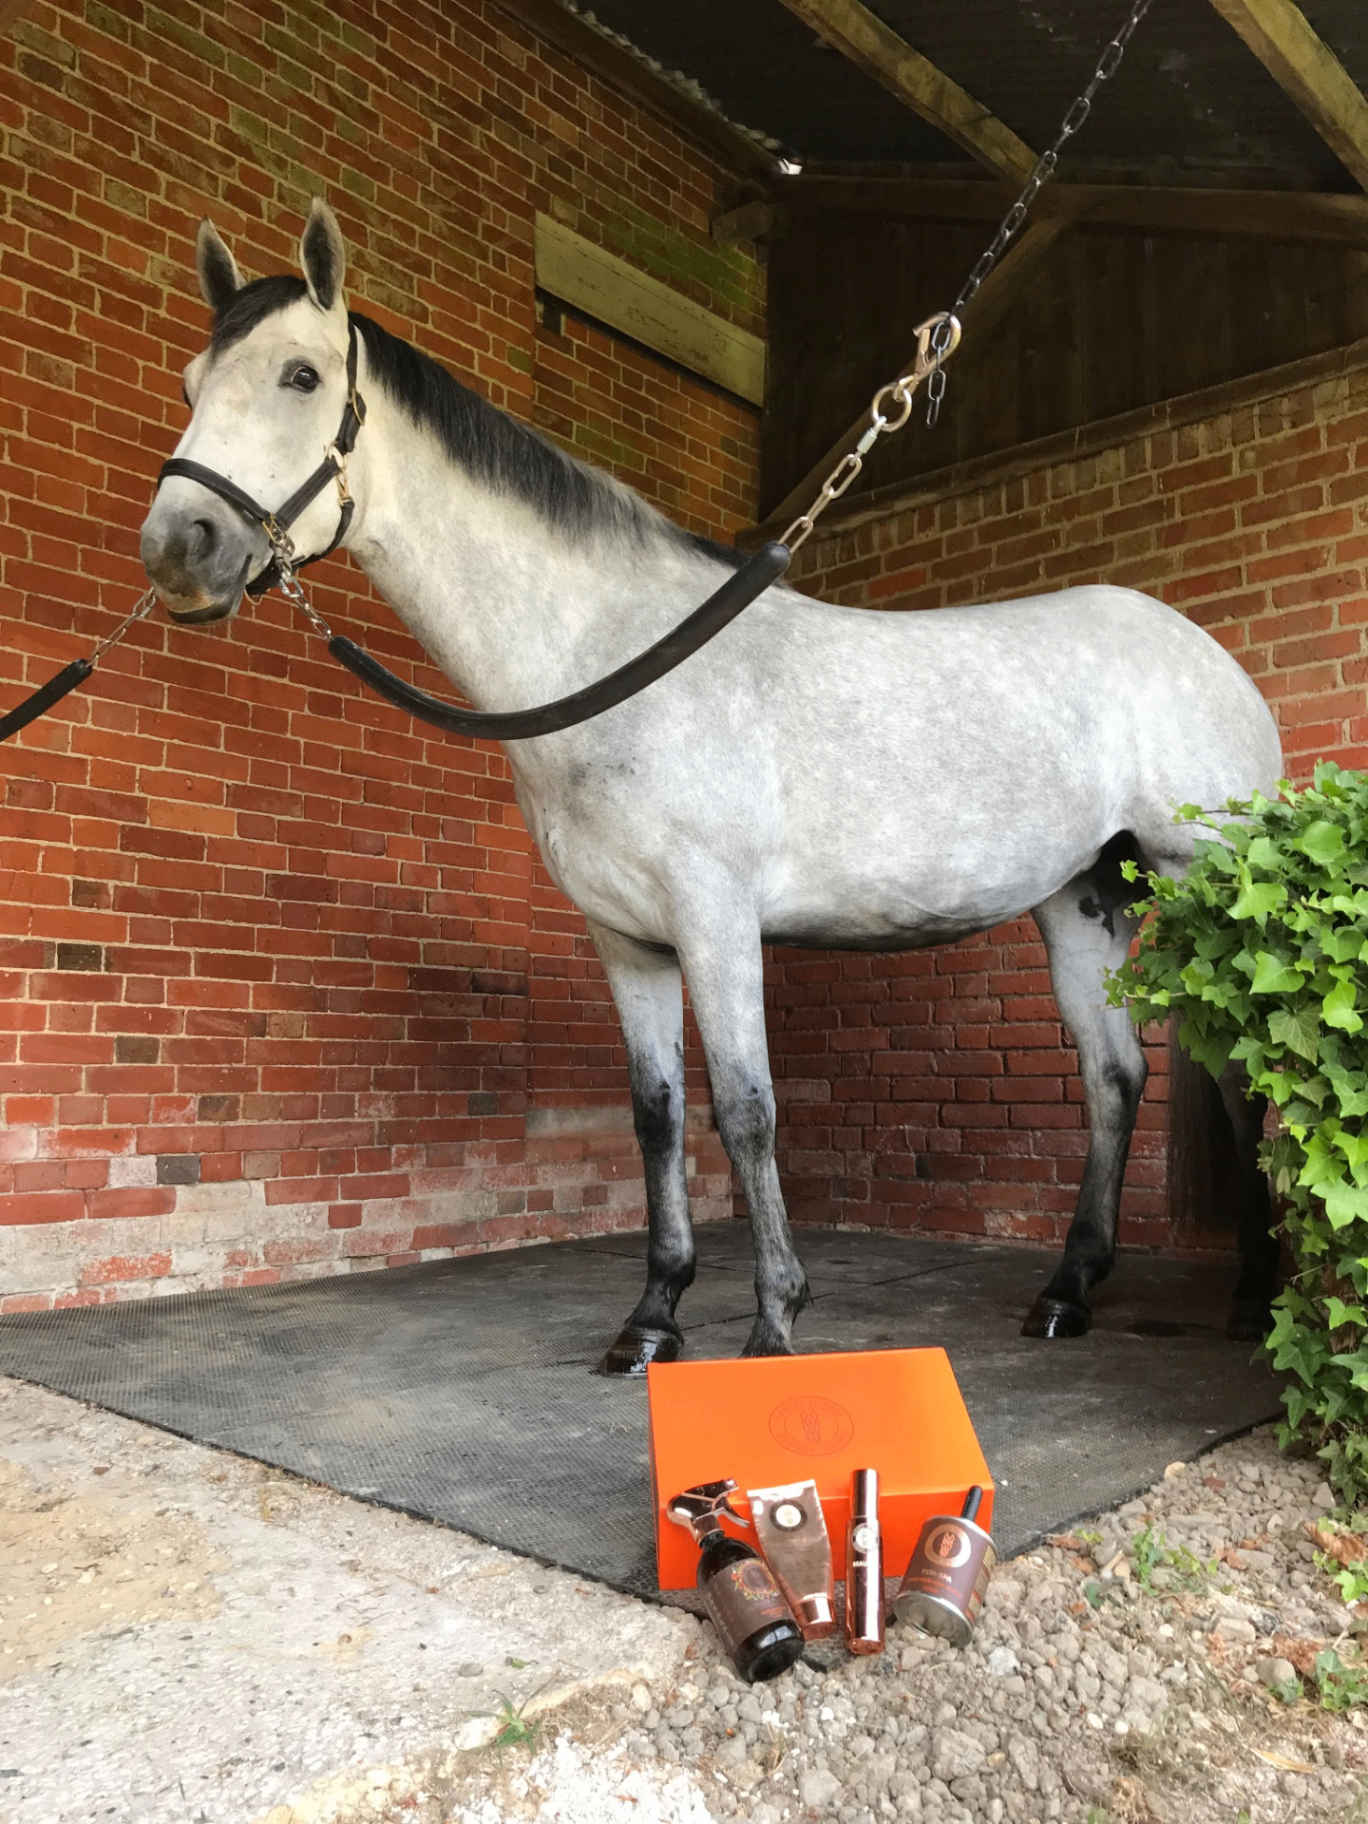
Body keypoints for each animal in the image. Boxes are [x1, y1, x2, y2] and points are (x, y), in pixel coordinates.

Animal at [140, 201, 1284, 1374]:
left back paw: (1252, 1296)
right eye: (189, 383)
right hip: (1079, 897)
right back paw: (1067, 1291)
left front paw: (775, 1323)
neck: (616, 656)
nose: (180, 549)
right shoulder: (627, 937)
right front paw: (652, 1320)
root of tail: (1208, 656)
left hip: (1205, 886)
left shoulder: (716, 918)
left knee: (1242, 1070)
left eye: (302, 375)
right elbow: (658, 1114)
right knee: (1115, 1076)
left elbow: (745, 1109)